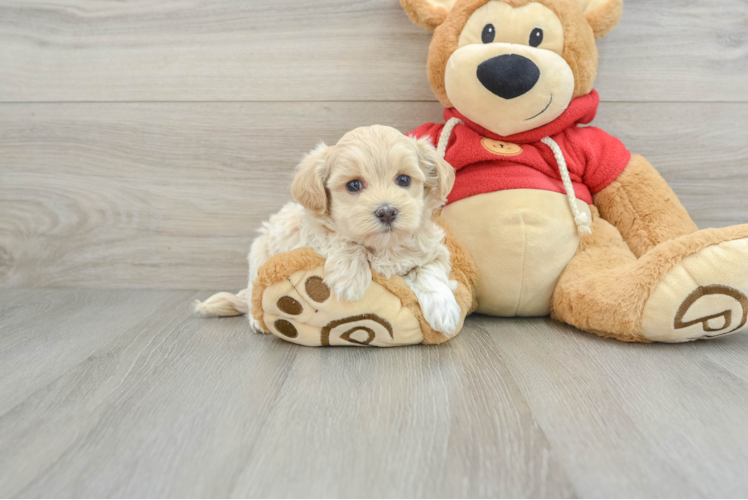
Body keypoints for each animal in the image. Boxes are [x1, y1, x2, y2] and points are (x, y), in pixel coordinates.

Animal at [194, 124, 462, 336]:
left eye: (404, 180)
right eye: (353, 185)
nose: (387, 211)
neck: (382, 246)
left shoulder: (434, 250)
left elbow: (430, 271)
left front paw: (445, 311)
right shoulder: (312, 235)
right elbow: (341, 238)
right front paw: (350, 277)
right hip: (259, 257)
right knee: (253, 297)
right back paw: (257, 322)